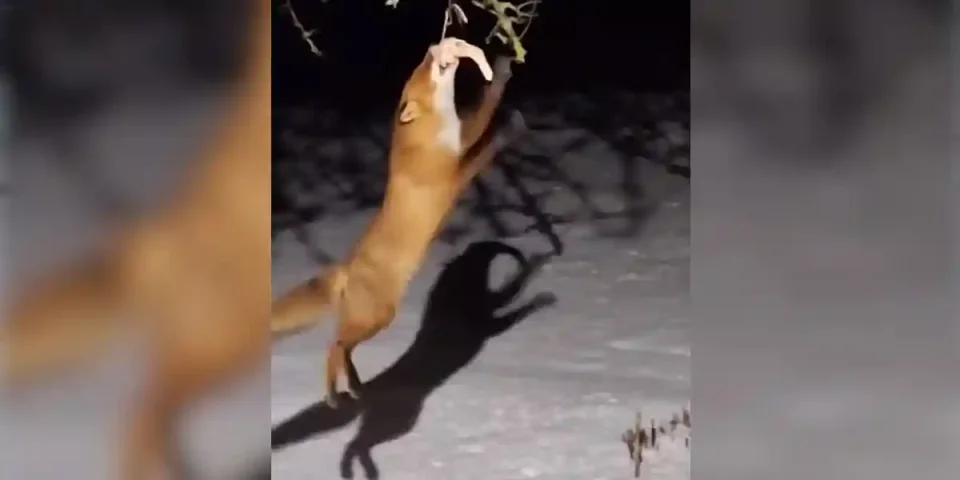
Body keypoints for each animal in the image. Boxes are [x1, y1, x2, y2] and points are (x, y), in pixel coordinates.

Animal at [270, 37, 524, 408]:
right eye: (424, 70)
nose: (436, 47)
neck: (423, 137)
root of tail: (346, 266)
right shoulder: (457, 168)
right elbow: (486, 136)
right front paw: (509, 131)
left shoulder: (461, 139)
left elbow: (486, 103)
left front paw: (502, 72)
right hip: (378, 318)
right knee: (335, 346)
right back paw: (335, 395)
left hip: (372, 320)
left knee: (342, 348)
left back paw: (354, 387)